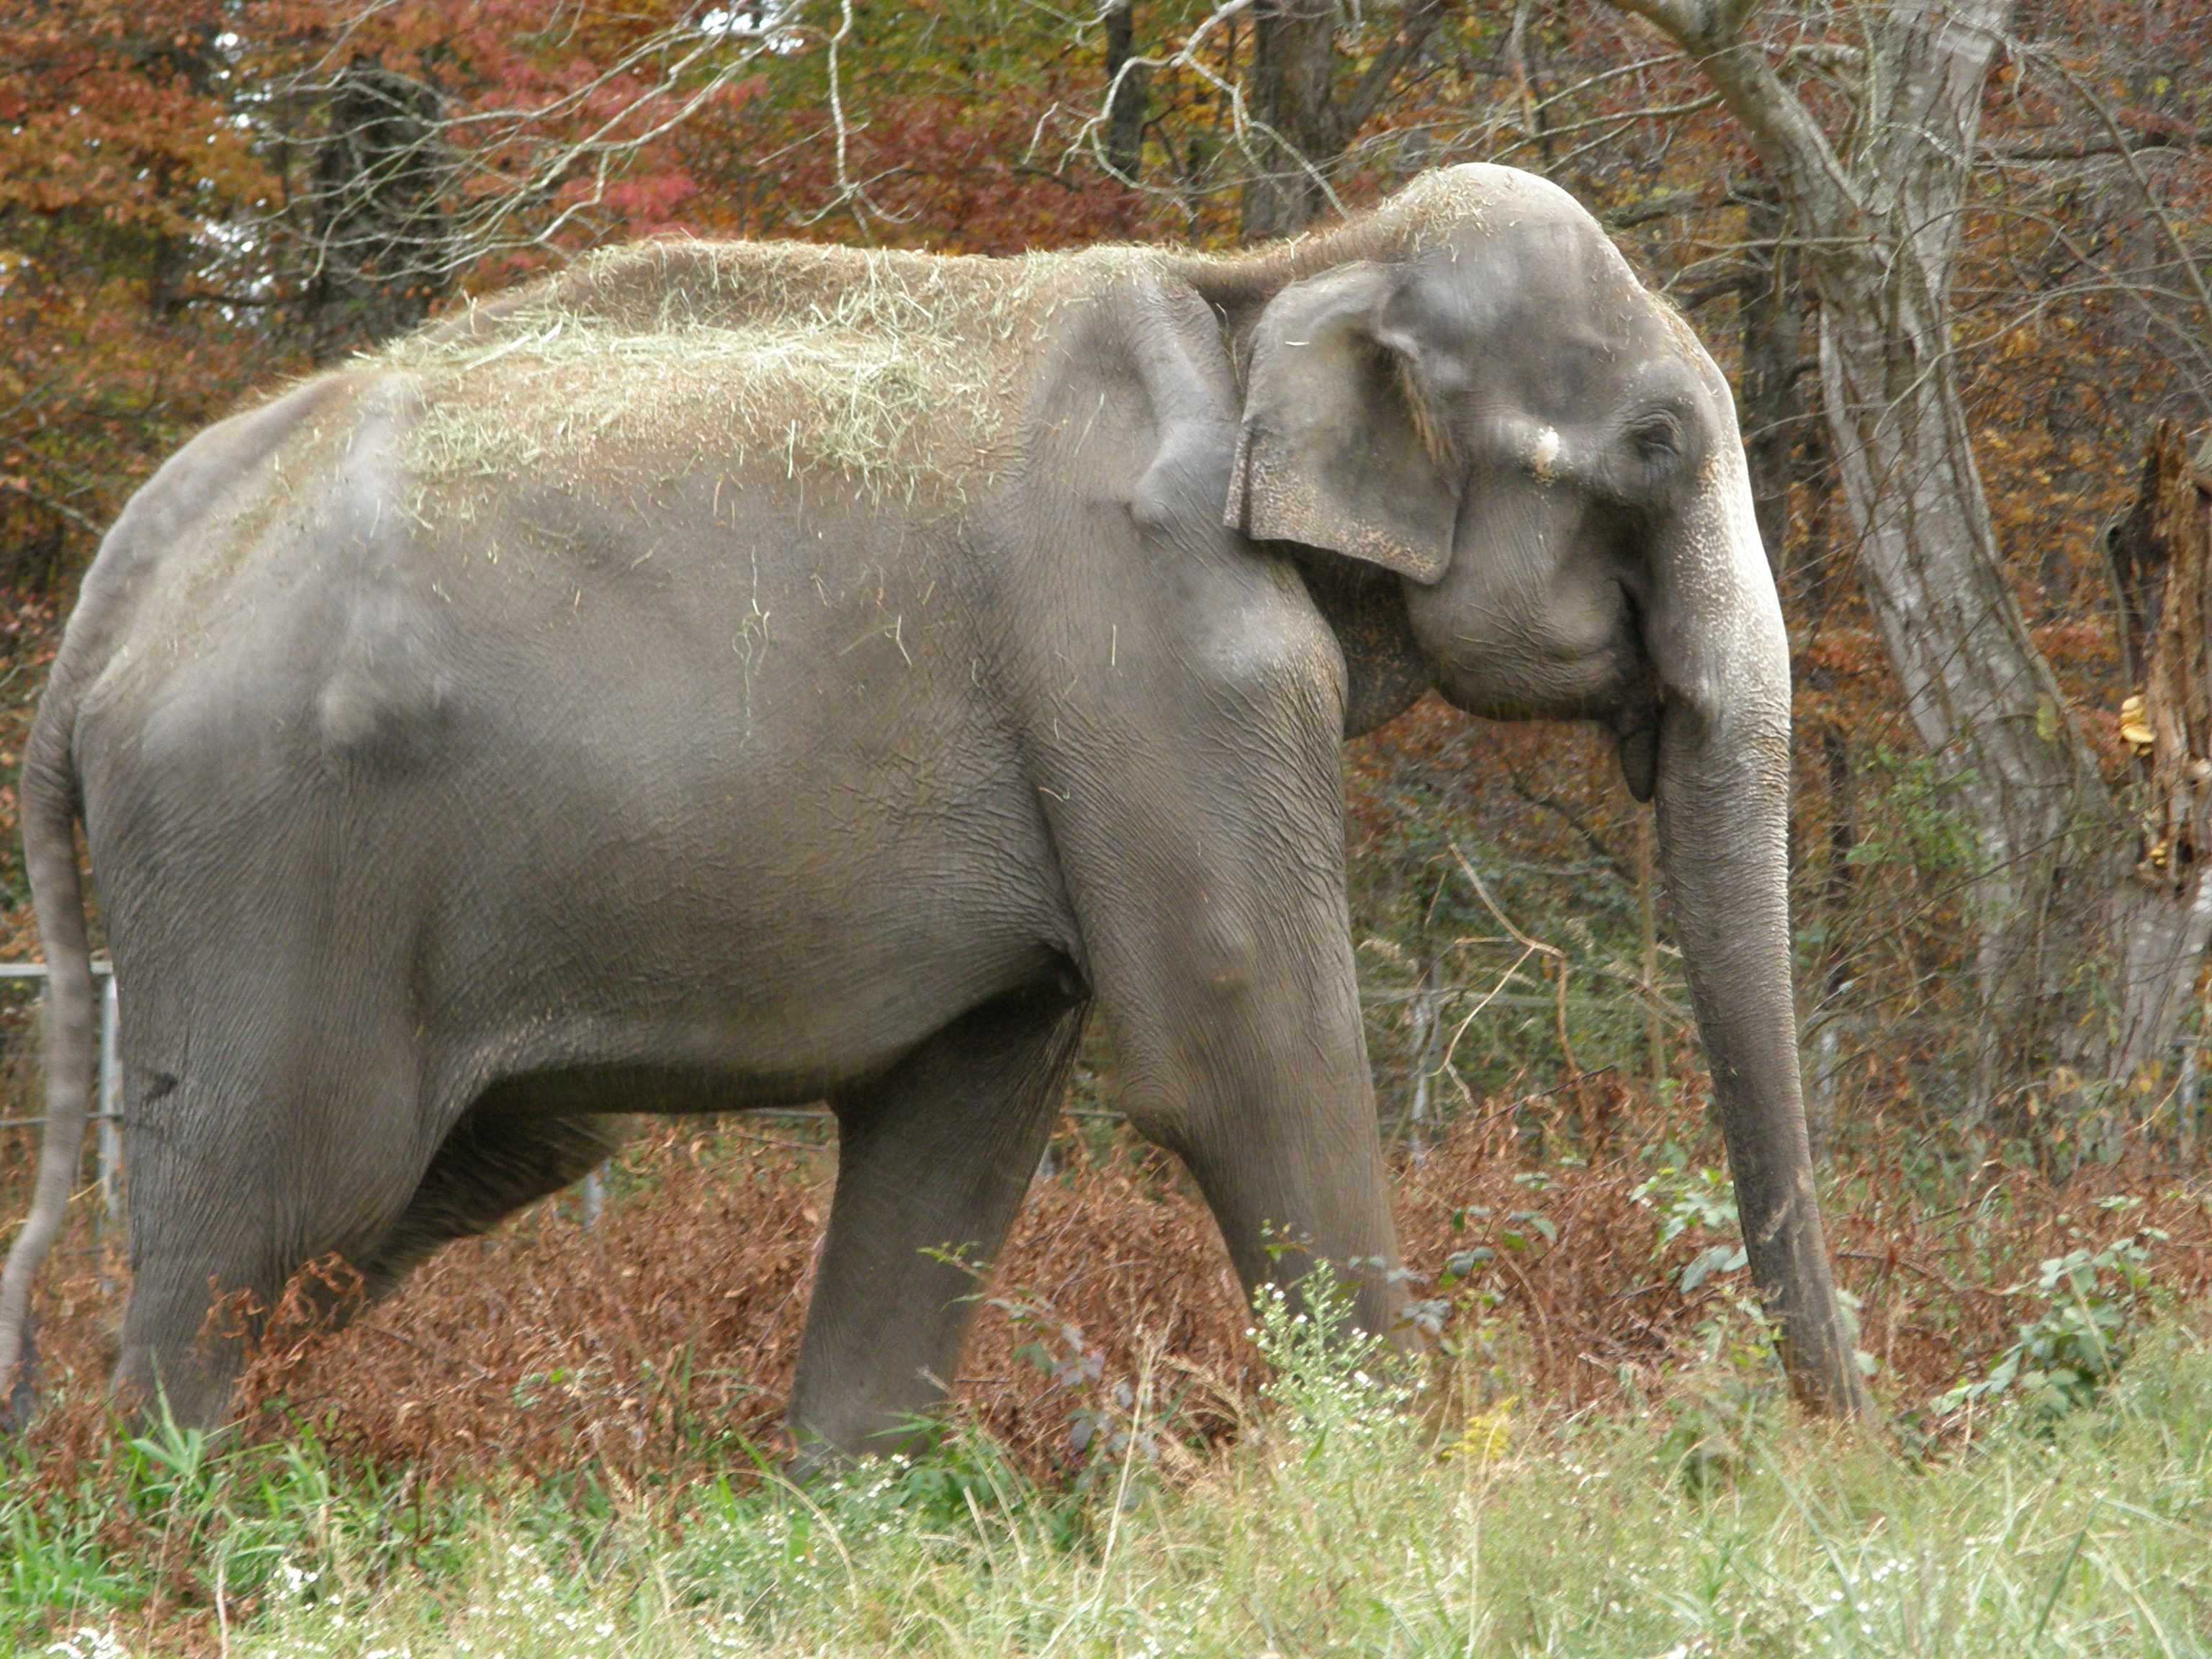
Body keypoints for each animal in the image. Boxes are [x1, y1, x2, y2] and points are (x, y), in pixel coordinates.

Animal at [0, 163, 1870, 1452]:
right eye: (1650, 447)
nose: (1836, 1455)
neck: (1281, 277)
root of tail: (124, 581)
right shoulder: (1147, 645)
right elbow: (1236, 1045)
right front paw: (1428, 1473)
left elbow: (966, 1106)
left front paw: (843, 1501)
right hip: (270, 856)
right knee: (270, 1199)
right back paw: (160, 1508)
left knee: (456, 1174)